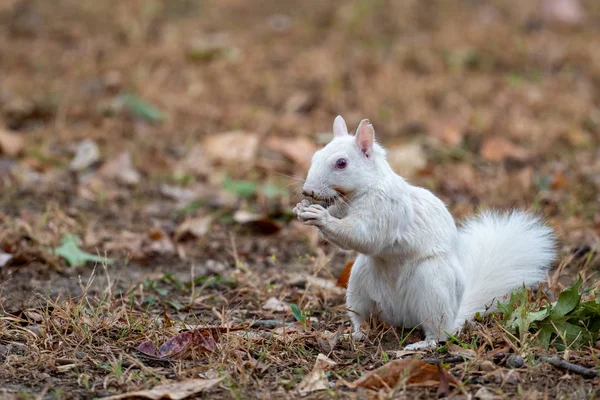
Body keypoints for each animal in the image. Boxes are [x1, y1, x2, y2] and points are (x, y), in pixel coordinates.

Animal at [292, 115, 556, 350]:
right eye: (315, 156)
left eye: (341, 163)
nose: (308, 191)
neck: (363, 190)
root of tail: (402, 317)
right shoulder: (343, 207)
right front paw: (301, 210)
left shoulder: (387, 209)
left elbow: (364, 236)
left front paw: (320, 217)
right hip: (359, 284)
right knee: (363, 319)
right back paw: (355, 334)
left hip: (433, 286)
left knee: (439, 332)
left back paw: (422, 345)